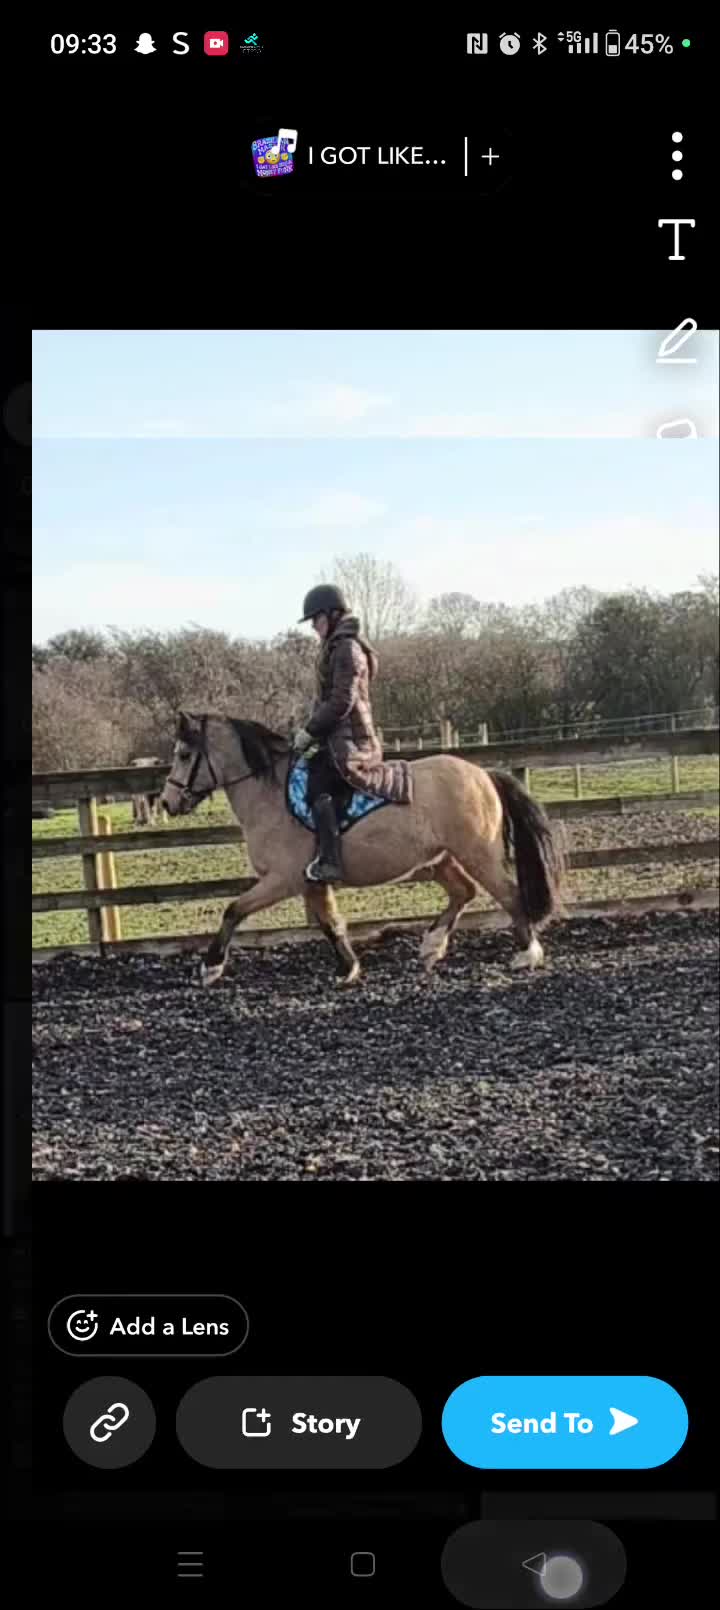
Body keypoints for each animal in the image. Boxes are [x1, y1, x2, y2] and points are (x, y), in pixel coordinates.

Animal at [159, 711, 565, 988]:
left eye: (183, 754)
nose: (167, 802)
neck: (270, 793)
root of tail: (483, 774)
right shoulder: (311, 882)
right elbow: (330, 922)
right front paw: (348, 967)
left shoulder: (284, 880)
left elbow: (233, 910)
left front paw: (210, 966)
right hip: (438, 859)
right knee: (463, 892)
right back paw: (431, 945)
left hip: (477, 855)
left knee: (509, 894)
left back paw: (526, 954)